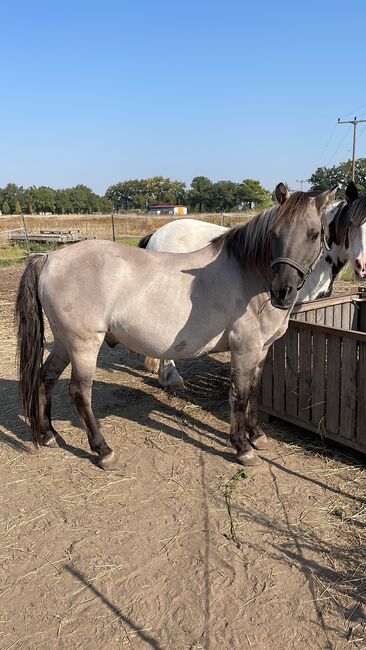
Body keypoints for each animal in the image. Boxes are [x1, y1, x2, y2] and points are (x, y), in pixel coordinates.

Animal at [15, 185, 334, 468]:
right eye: (274, 233)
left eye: (314, 234)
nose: (282, 291)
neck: (248, 274)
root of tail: (50, 258)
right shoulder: (244, 350)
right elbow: (240, 396)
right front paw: (243, 448)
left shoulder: (262, 350)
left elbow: (254, 391)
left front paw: (256, 435)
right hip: (83, 345)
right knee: (80, 393)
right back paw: (103, 451)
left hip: (64, 342)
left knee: (46, 377)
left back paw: (48, 434)